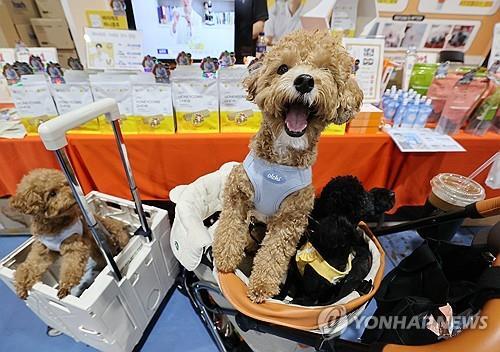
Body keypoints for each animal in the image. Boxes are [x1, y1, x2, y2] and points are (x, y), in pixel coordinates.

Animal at [11, 169, 130, 298]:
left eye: (67, 184)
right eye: (52, 193)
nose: (74, 194)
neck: (55, 224)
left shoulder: (73, 246)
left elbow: (70, 267)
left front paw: (64, 287)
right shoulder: (42, 251)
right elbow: (29, 267)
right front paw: (21, 286)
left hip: (110, 230)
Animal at [212, 31, 364, 302]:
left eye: (326, 70)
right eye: (282, 68)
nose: (304, 81)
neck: (281, 159)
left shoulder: (290, 218)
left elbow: (273, 254)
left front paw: (261, 286)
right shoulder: (237, 195)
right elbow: (229, 227)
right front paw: (225, 259)